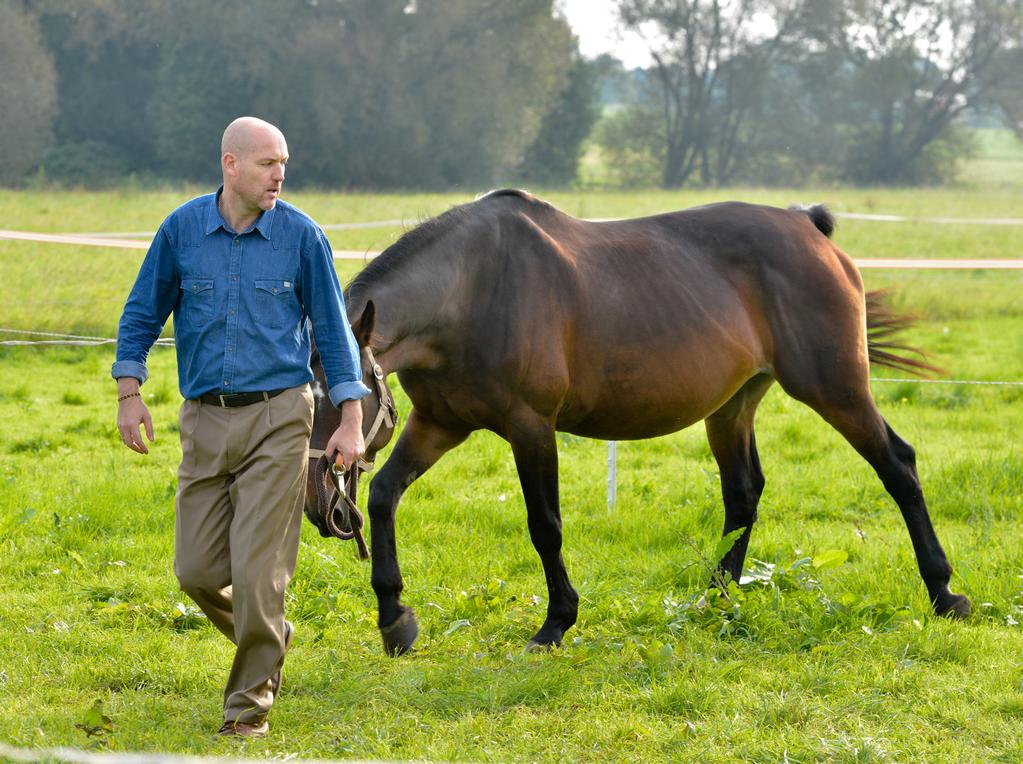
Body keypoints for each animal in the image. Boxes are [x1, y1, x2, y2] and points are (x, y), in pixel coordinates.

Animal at [300, 191, 965, 658]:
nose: (319, 507)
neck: (472, 289)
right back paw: (715, 601)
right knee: (743, 494)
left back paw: (944, 593)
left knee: (899, 468)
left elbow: (544, 526)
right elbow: (383, 496)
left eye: (346, 399)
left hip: (836, 389)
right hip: (733, 406)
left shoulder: (531, 427)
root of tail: (808, 225)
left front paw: (555, 623)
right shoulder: (440, 423)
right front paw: (395, 619)